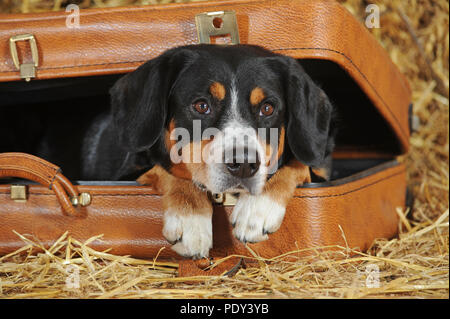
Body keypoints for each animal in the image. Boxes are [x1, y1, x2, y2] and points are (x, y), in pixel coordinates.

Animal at [81, 45, 336, 258]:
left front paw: (257, 209)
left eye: (267, 108)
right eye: (201, 106)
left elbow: (297, 163)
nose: (244, 164)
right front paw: (190, 219)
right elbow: (172, 172)